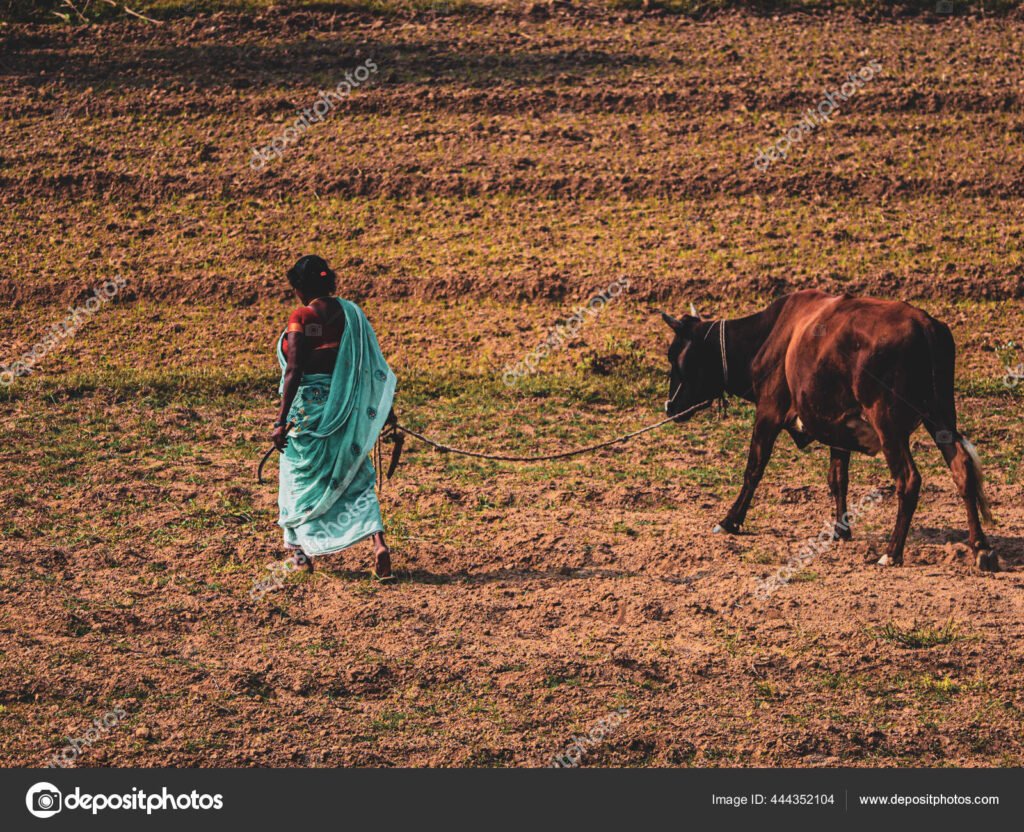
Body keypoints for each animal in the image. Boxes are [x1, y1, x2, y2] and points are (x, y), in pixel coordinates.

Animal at [659, 290, 995, 573]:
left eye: (674, 355)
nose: (669, 407)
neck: (771, 336)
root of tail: (924, 323)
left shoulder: (769, 411)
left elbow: (754, 469)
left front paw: (730, 521)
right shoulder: (840, 429)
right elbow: (838, 479)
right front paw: (840, 530)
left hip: (889, 425)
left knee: (909, 480)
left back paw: (891, 553)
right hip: (941, 417)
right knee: (962, 469)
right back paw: (980, 547)